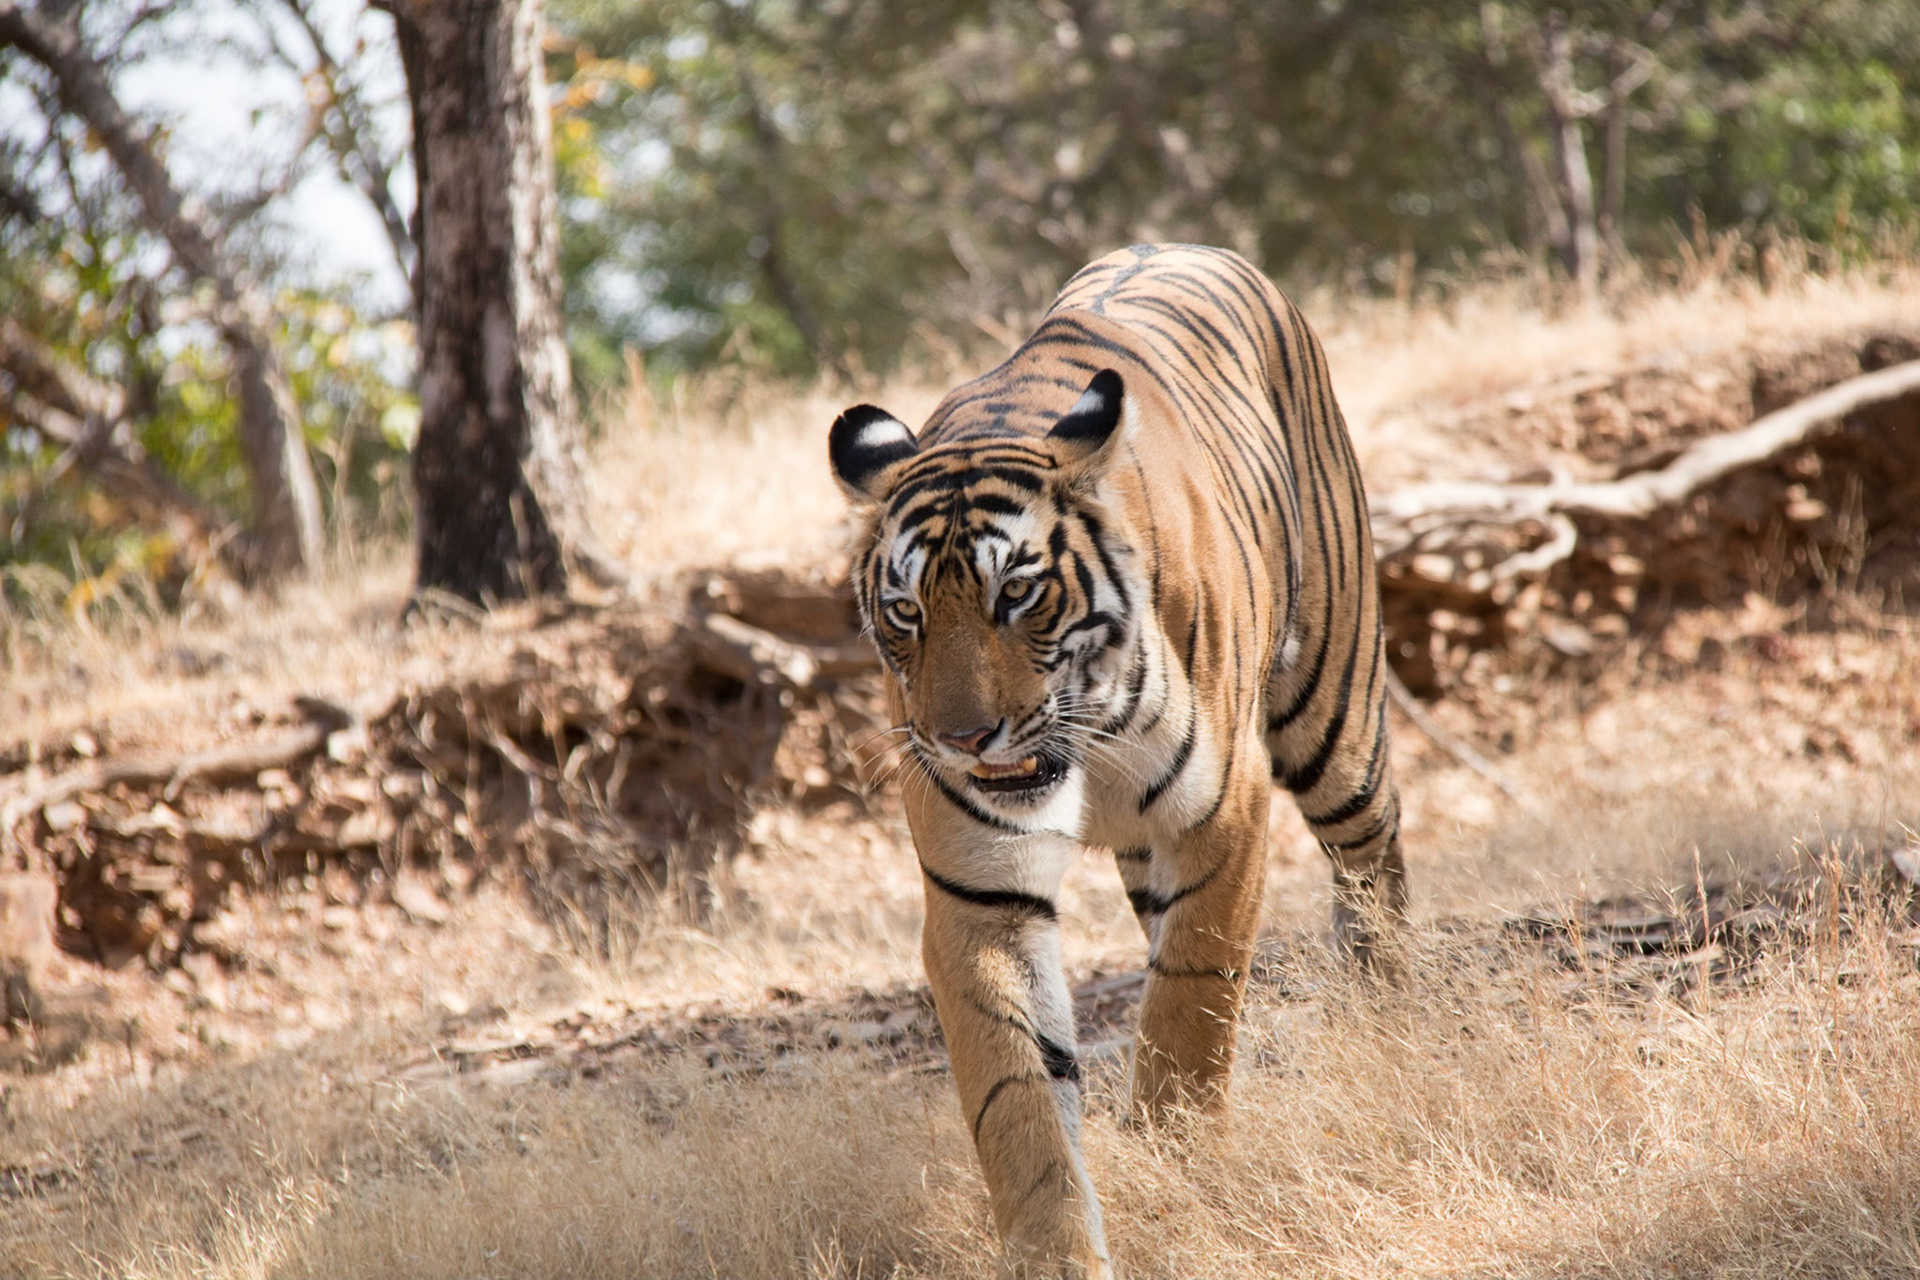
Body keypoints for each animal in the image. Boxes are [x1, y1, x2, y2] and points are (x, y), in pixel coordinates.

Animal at [828, 243, 1406, 1278]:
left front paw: (1182, 1162)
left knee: (1374, 864)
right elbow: (1018, 1099)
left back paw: (1398, 1025)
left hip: (1333, 714)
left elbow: (1190, 1004)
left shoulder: (1224, 816)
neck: (1079, 743)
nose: (963, 740)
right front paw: (1057, 1251)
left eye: (1017, 593)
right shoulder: (980, 891)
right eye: (905, 611)